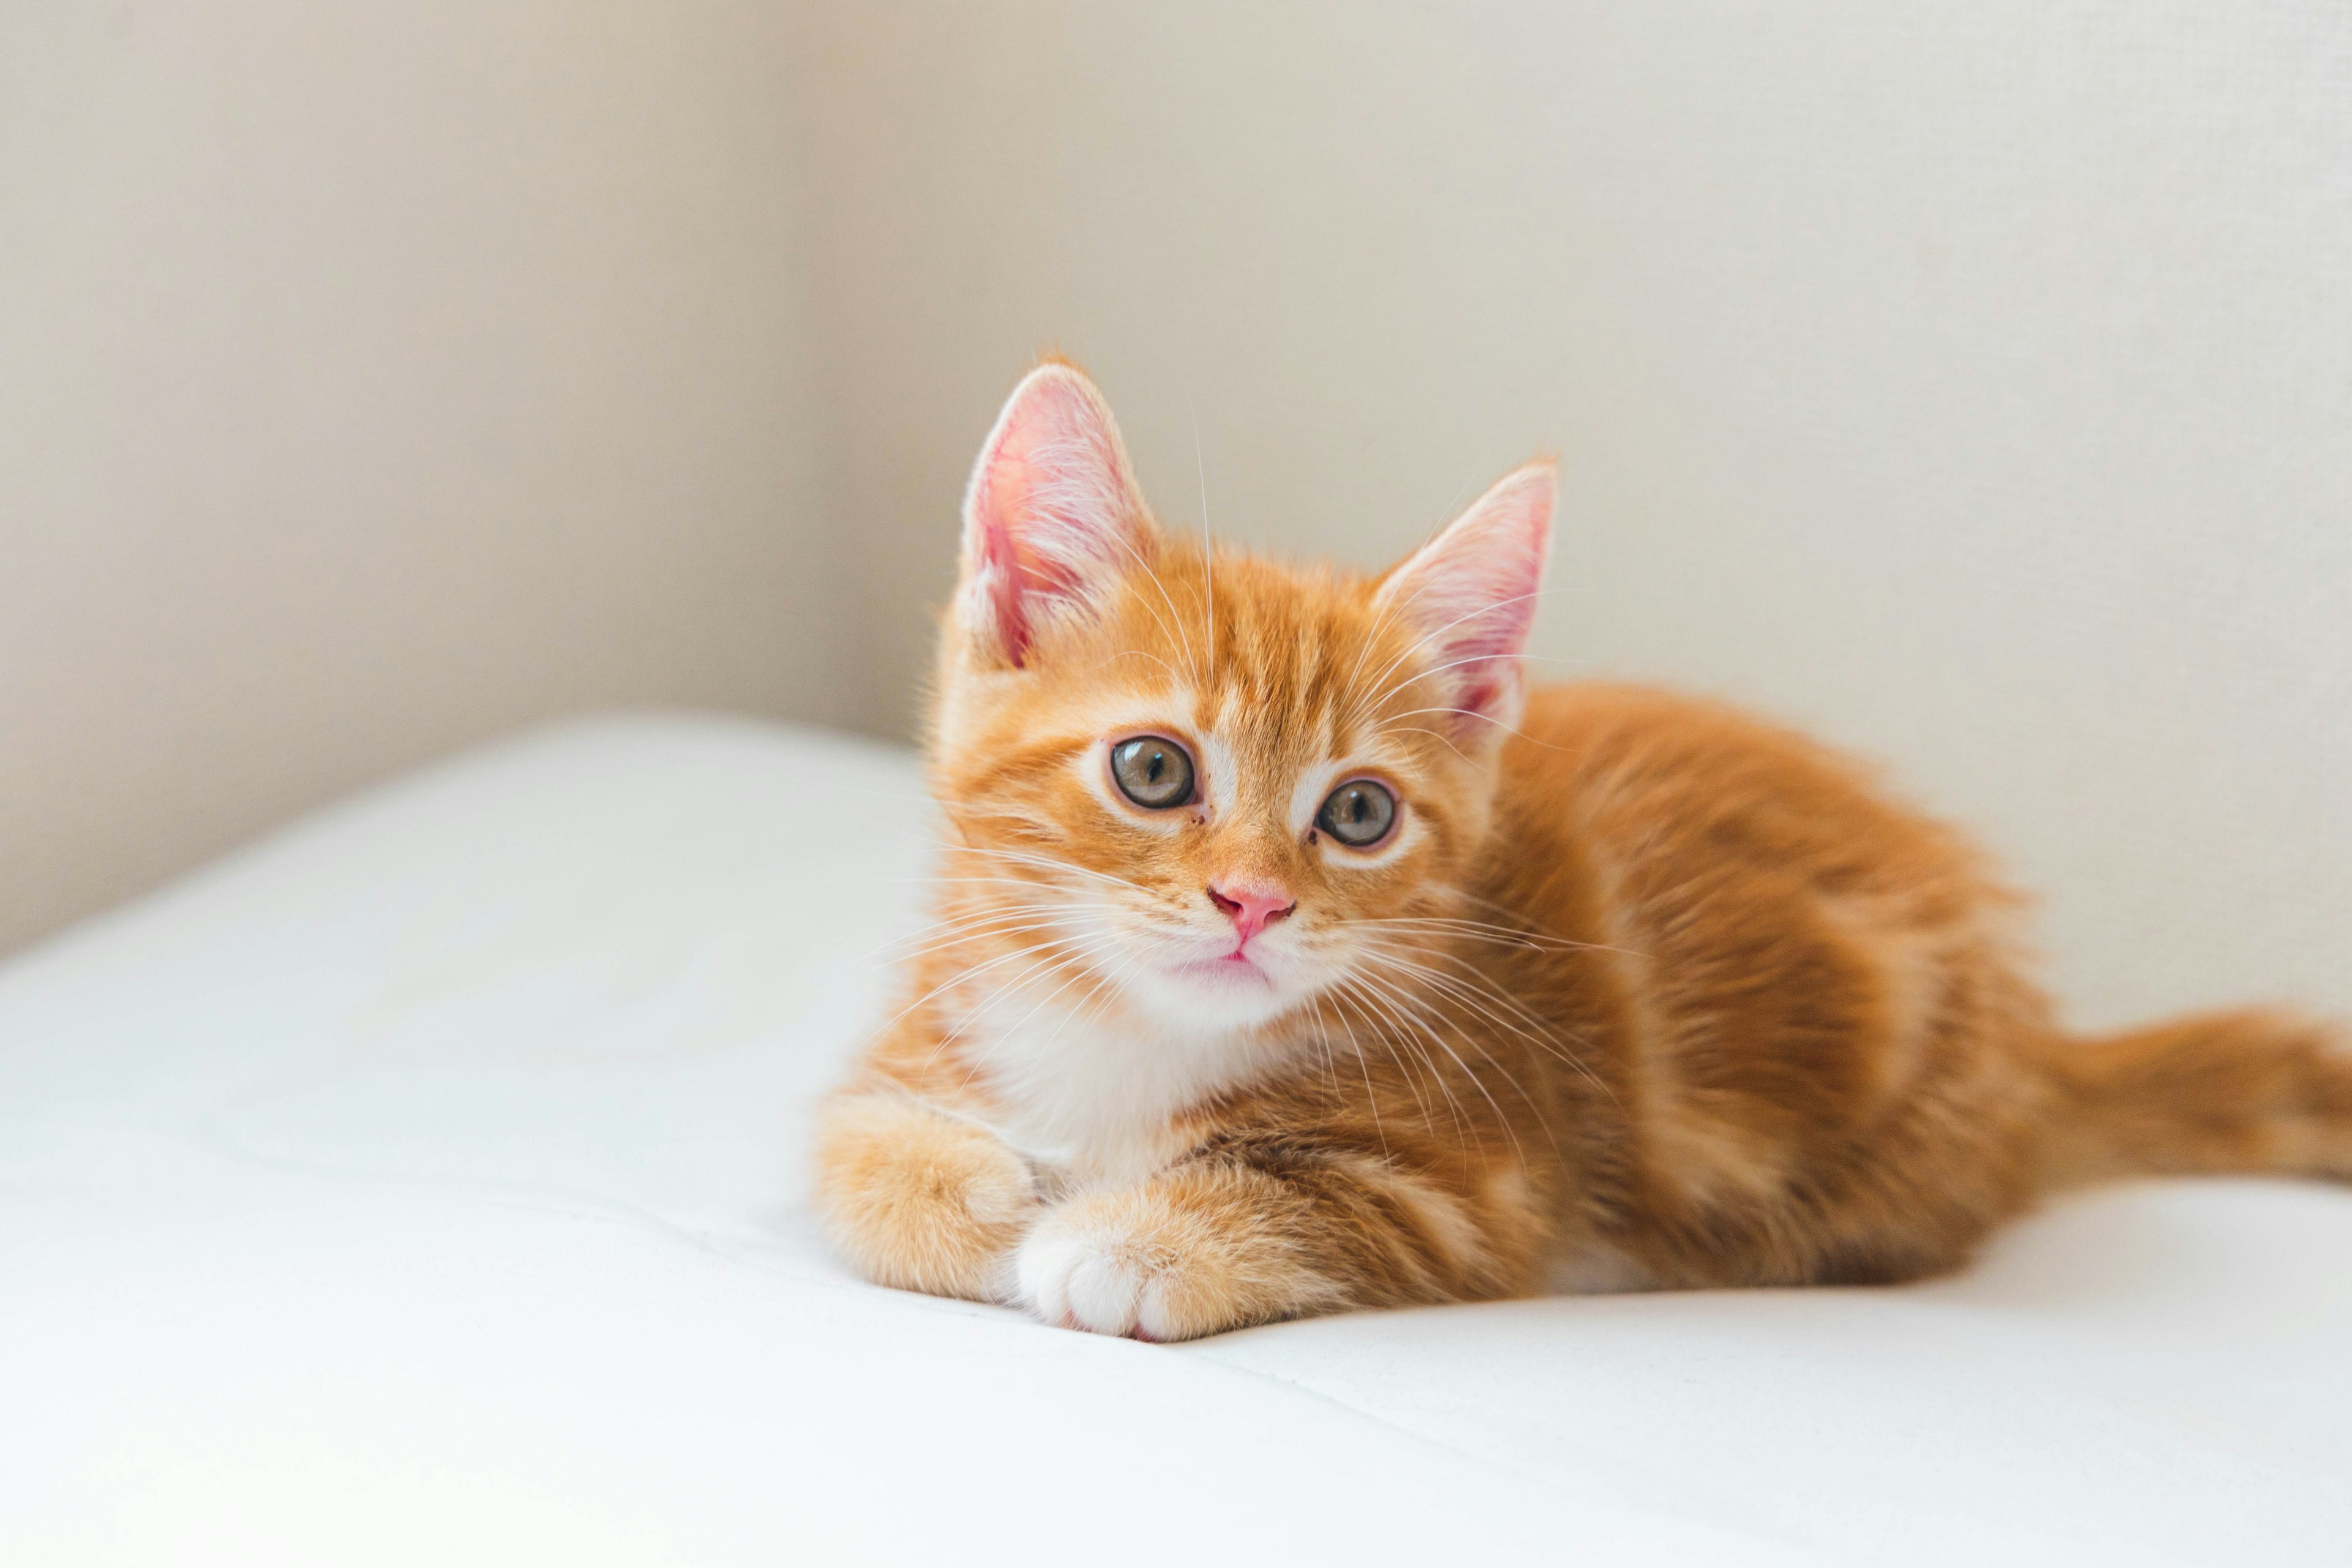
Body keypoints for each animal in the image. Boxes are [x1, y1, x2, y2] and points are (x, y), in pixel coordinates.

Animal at [813, 362, 2352, 1344]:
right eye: (1152, 770)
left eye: (1358, 814)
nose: (1252, 901)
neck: (1129, 1042)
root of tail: (2035, 1047)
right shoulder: (925, 1021)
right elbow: (847, 1153)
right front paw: (978, 1194)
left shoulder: (1481, 1189)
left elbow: (1317, 1197)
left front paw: (1126, 1235)